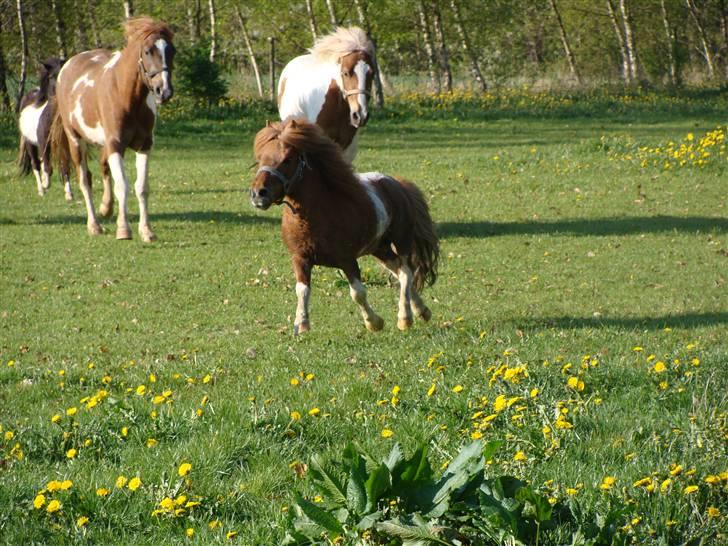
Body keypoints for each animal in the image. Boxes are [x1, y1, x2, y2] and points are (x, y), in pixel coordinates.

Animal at [17, 58, 72, 200]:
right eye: (52, 76)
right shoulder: (43, 145)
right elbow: (48, 168)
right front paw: (46, 184)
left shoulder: (63, 146)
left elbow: (64, 167)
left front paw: (69, 194)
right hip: (30, 144)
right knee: (35, 164)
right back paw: (41, 189)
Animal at [50, 16, 175, 240]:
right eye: (147, 51)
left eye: (172, 51)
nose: (164, 91)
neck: (127, 96)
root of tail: (68, 66)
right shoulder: (116, 145)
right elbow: (122, 186)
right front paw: (124, 229)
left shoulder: (144, 145)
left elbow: (141, 187)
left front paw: (147, 231)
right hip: (75, 140)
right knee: (85, 180)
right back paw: (94, 225)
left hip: (103, 144)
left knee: (103, 169)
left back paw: (106, 209)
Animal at [252, 118, 438, 332]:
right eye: (260, 159)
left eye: (288, 159)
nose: (258, 194)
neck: (314, 217)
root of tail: (398, 184)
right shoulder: (300, 258)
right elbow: (302, 290)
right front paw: (302, 324)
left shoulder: (347, 260)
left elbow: (358, 293)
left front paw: (374, 323)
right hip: (379, 248)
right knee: (399, 271)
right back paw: (421, 311)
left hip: (402, 241)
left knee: (406, 272)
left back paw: (405, 317)